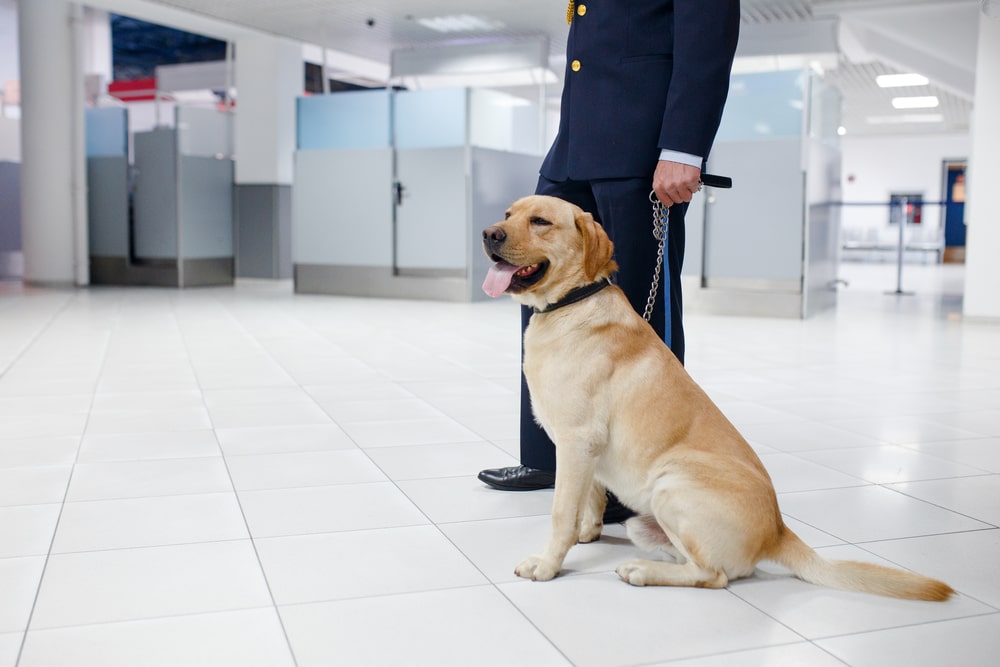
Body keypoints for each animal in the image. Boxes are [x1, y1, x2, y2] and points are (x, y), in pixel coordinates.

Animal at [482, 196, 952, 604]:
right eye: (508, 214)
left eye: (540, 221)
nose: (488, 233)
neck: (569, 303)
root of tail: (778, 530)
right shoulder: (589, 451)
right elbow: (591, 498)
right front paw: (589, 531)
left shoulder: (577, 442)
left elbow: (561, 512)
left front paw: (548, 564)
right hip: (648, 517)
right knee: (700, 563)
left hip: (672, 485)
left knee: (714, 575)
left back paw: (642, 571)